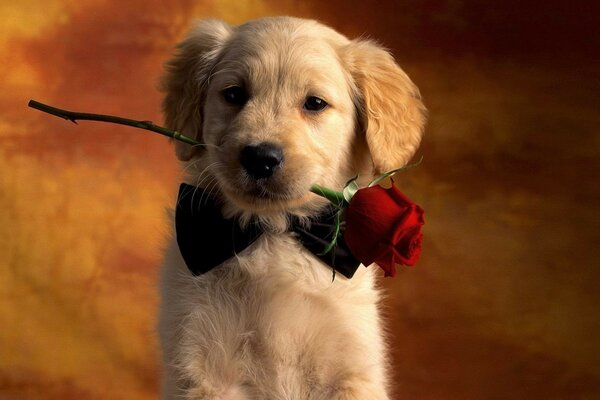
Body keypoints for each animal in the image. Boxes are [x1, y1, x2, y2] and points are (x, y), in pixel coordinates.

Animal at [157, 16, 424, 400]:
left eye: (315, 103)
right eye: (234, 94)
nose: (260, 158)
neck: (274, 232)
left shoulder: (350, 368)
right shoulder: (202, 366)